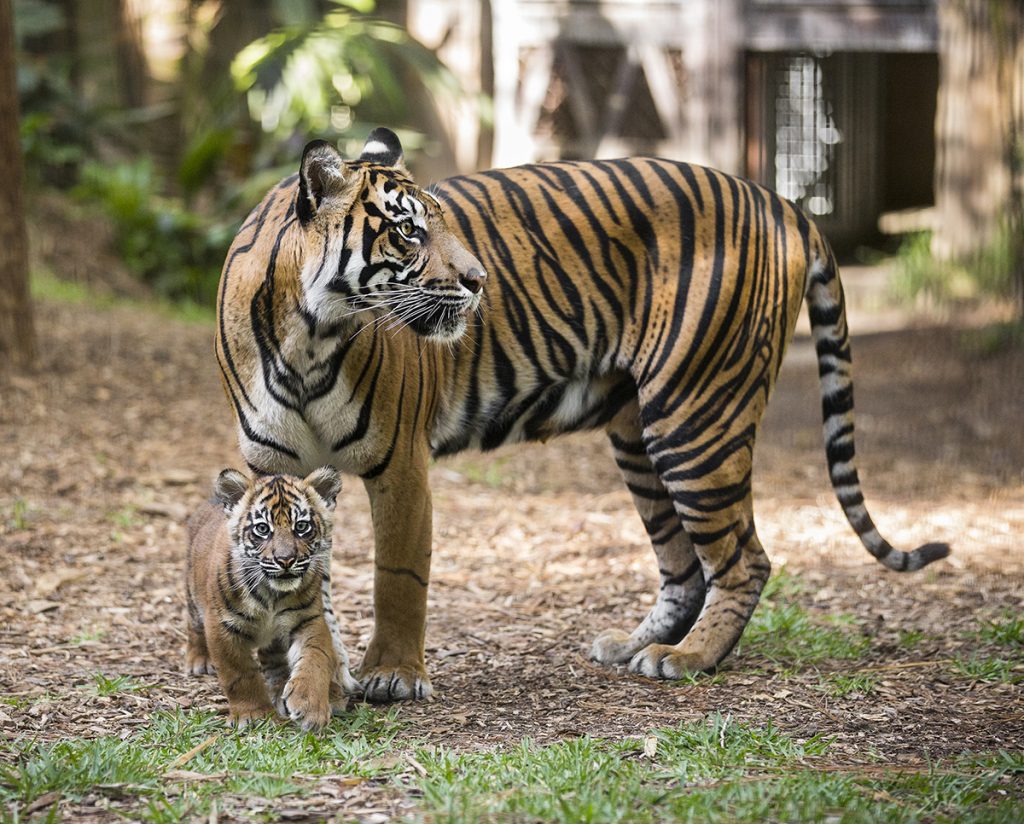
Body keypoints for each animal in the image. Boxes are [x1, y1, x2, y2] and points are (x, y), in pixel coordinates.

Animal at [214, 128, 942, 700]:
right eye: (410, 230)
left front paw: (391, 674)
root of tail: (781, 201)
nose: (480, 281)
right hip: (639, 436)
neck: (308, 336)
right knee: (684, 566)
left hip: (696, 415)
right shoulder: (276, 470)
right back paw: (631, 647)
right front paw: (296, 665)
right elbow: (291, 570)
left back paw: (687, 658)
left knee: (744, 560)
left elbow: (398, 575)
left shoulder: (400, 464)